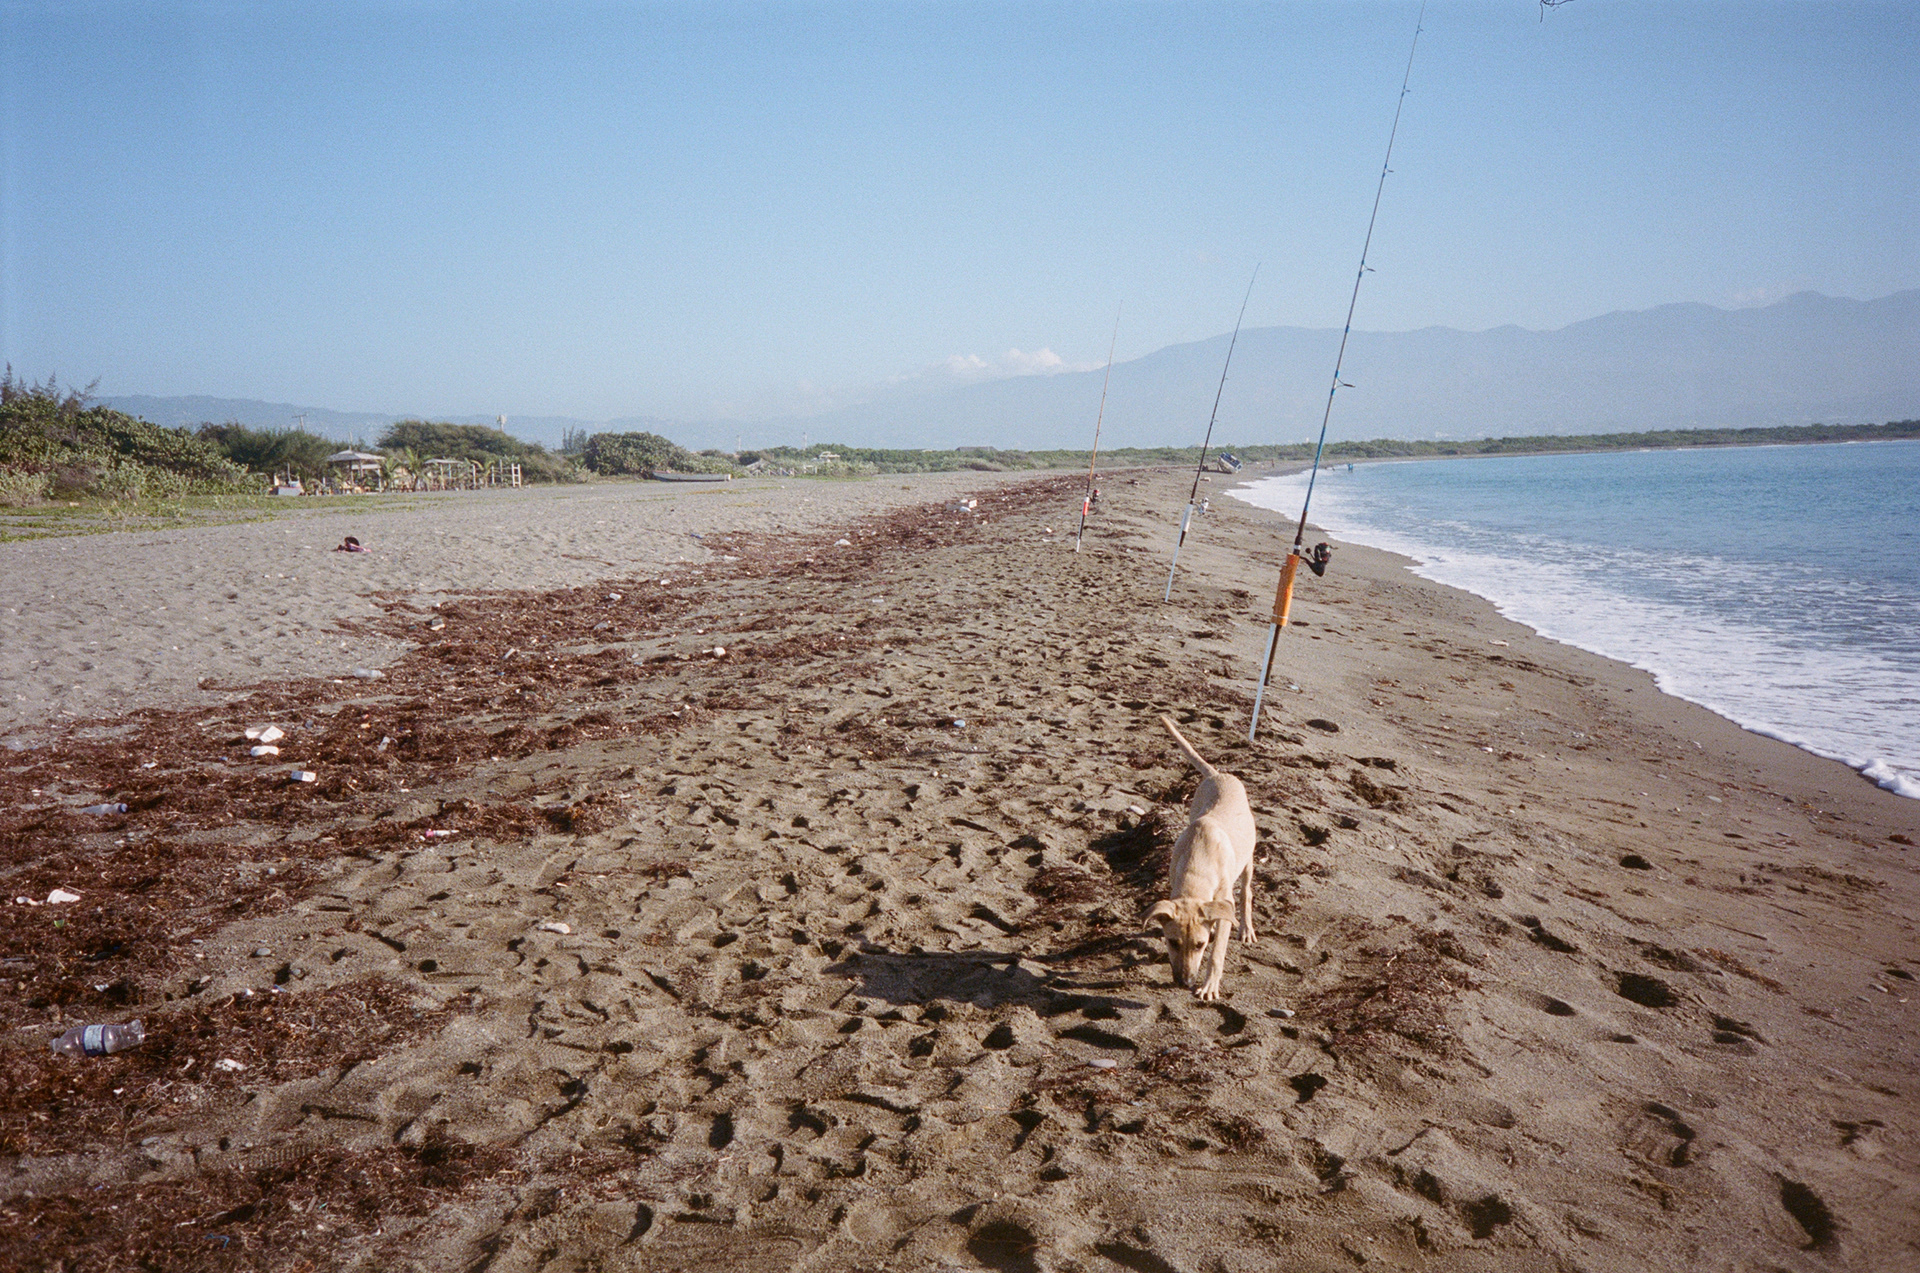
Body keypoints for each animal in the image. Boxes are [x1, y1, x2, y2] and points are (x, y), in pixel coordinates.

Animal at [1147, 715, 1258, 1001]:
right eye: (1172, 942)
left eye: (1200, 944)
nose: (1183, 982)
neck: (1199, 862)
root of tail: (1218, 774)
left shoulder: (1225, 901)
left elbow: (1217, 954)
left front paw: (1209, 986)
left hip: (1248, 858)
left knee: (1247, 892)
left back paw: (1246, 929)